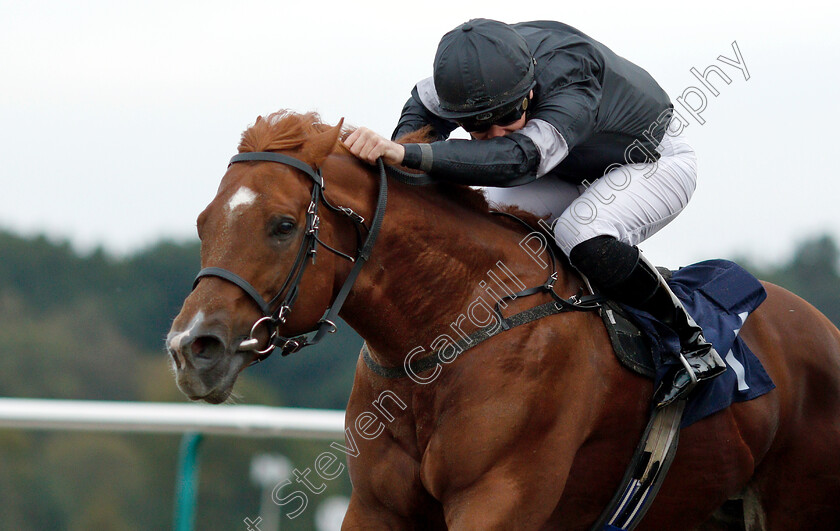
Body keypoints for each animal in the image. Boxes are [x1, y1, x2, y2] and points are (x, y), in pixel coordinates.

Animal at [166, 110, 840, 528]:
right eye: (203, 221)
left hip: (795, 507)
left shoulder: (498, 500)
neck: (448, 332)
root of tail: (824, 330)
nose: (192, 348)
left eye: (282, 226)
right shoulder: (379, 506)